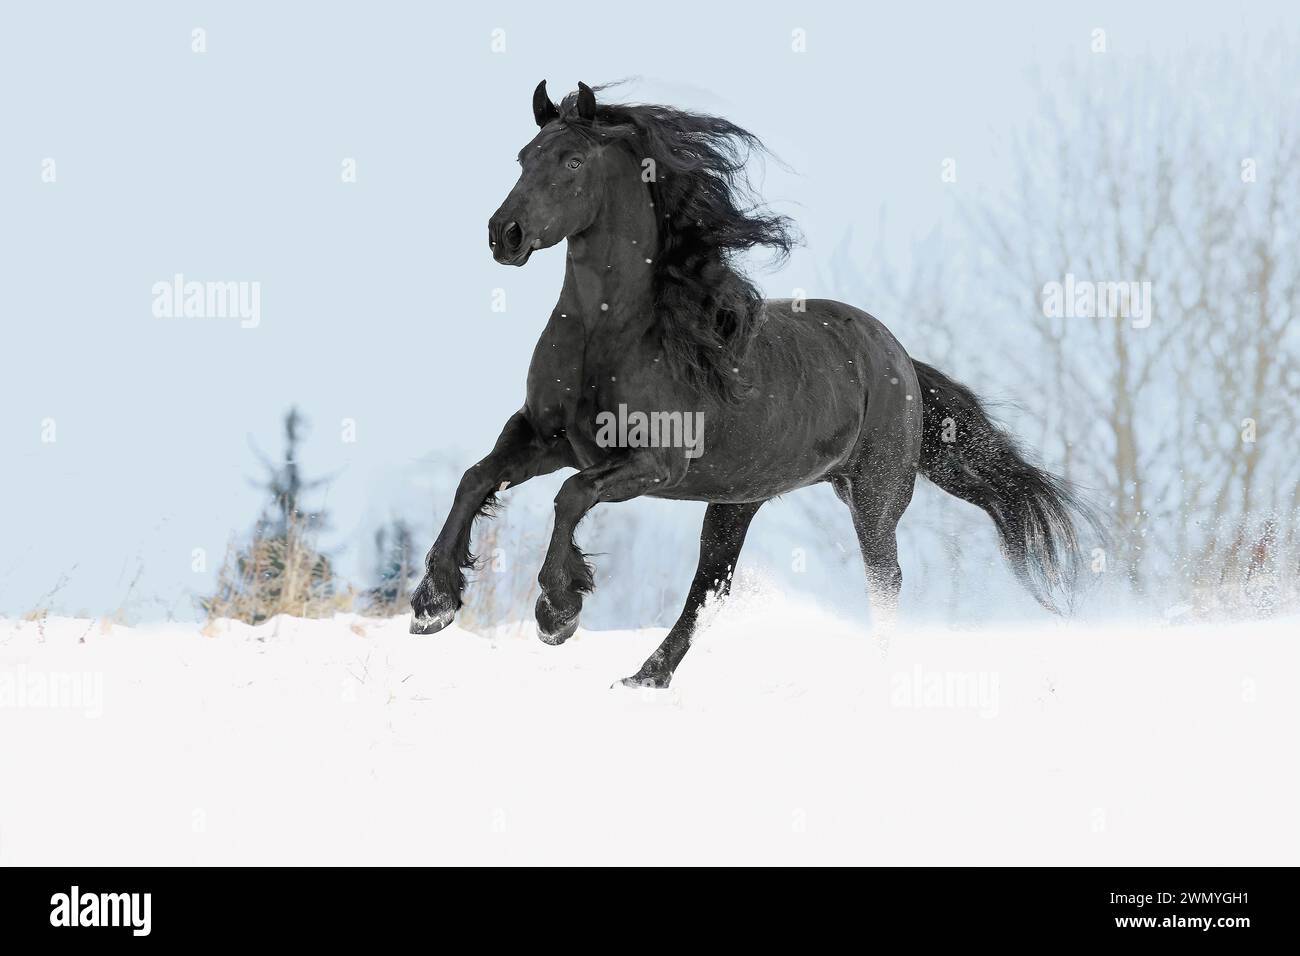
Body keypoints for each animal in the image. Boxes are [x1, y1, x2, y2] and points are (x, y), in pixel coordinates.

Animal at [413, 82, 1086, 686]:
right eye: (524, 156)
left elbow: (570, 496)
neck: (612, 335)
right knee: (711, 584)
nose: (504, 234)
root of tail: (896, 356)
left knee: (884, 579)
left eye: (572, 160)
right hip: (737, 500)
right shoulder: (545, 436)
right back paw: (646, 677)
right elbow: (477, 479)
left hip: (873, 497)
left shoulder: (654, 463)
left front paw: (557, 610)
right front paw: (433, 602)